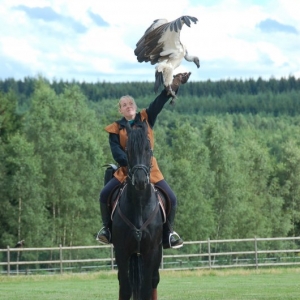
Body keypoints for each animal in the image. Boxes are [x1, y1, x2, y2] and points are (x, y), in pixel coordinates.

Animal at [112, 120, 164, 298]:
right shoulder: (121, 250)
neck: (140, 204)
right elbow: (125, 287)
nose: (140, 180)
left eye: (148, 149)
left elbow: (147, 287)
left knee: (153, 281)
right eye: (128, 150)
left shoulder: (151, 251)